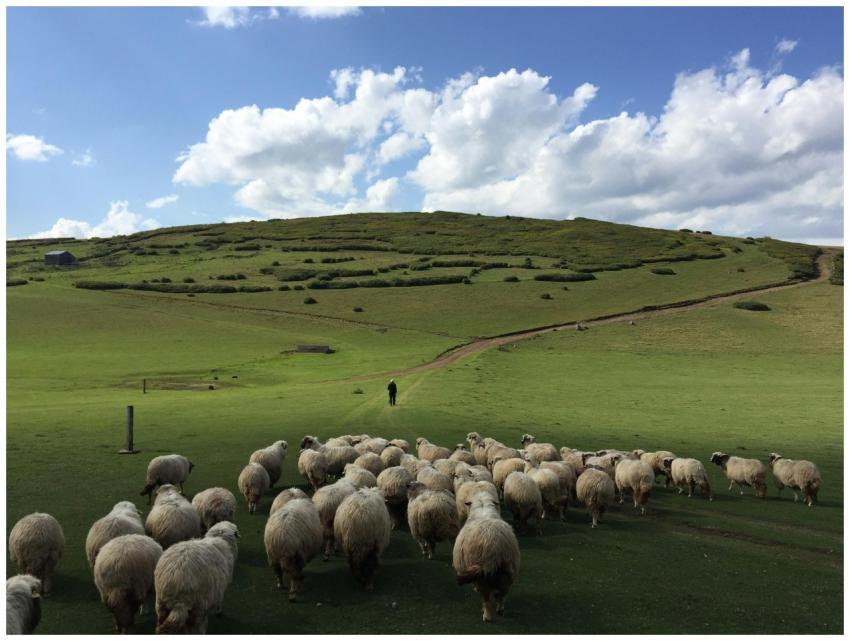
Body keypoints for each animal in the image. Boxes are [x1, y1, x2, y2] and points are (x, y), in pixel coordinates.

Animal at [452, 491, 520, 622]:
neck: (483, 508)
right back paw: (500, 609)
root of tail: (494, 545)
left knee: (486, 596)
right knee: (503, 593)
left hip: (482, 574)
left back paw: (487, 615)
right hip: (509, 569)